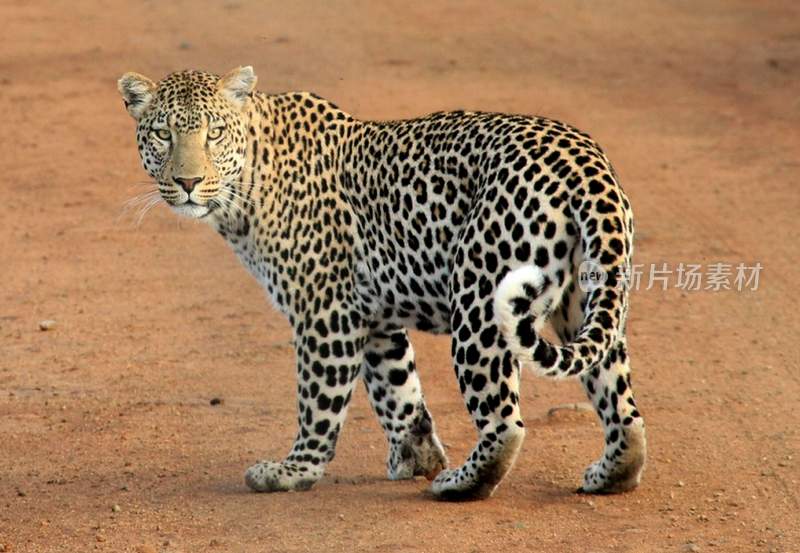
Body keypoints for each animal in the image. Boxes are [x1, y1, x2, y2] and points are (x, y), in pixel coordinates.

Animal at [117, 66, 644, 500]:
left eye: (215, 133)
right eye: (163, 134)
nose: (187, 182)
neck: (248, 183)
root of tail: (584, 162)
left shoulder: (325, 312)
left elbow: (319, 401)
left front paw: (294, 471)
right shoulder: (373, 316)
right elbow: (398, 391)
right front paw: (417, 456)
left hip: (479, 301)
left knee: (504, 422)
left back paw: (460, 483)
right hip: (586, 299)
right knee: (622, 405)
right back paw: (611, 474)